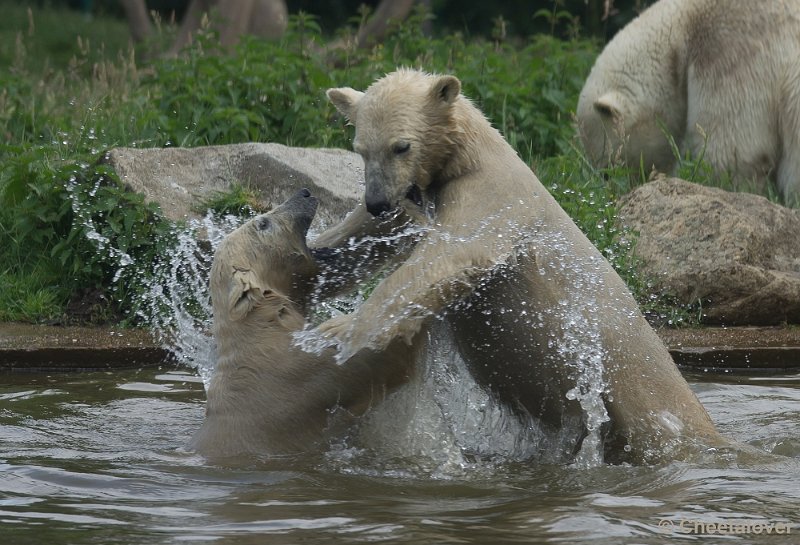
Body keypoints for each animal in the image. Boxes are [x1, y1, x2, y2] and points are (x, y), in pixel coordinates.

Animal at [312, 66, 732, 462]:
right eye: (360, 149)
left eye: (401, 146)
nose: (377, 201)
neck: (474, 153)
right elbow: (364, 238)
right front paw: (313, 251)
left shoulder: (489, 195)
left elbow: (453, 255)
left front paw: (341, 329)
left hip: (632, 377)